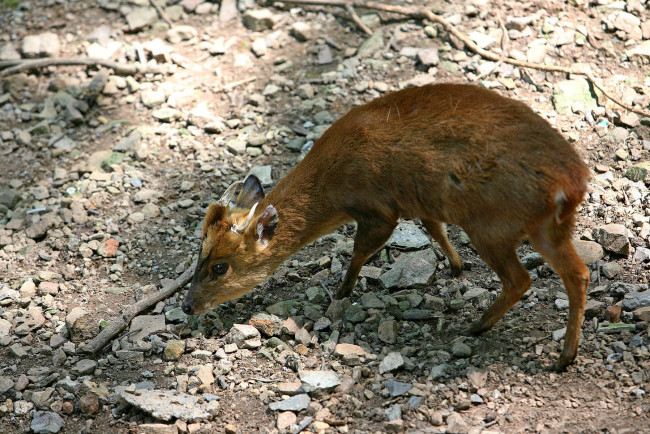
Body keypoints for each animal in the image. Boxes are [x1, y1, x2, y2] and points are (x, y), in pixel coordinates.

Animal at [180, 83, 588, 372]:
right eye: (197, 255)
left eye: (219, 267)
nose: (186, 305)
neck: (333, 187)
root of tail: (571, 183)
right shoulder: (419, 203)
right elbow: (434, 228)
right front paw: (456, 267)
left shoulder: (379, 211)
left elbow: (361, 250)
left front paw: (340, 292)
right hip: (546, 228)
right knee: (578, 273)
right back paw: (564, 357)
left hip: (492, 226)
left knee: (521, 279)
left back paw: (477, 326)